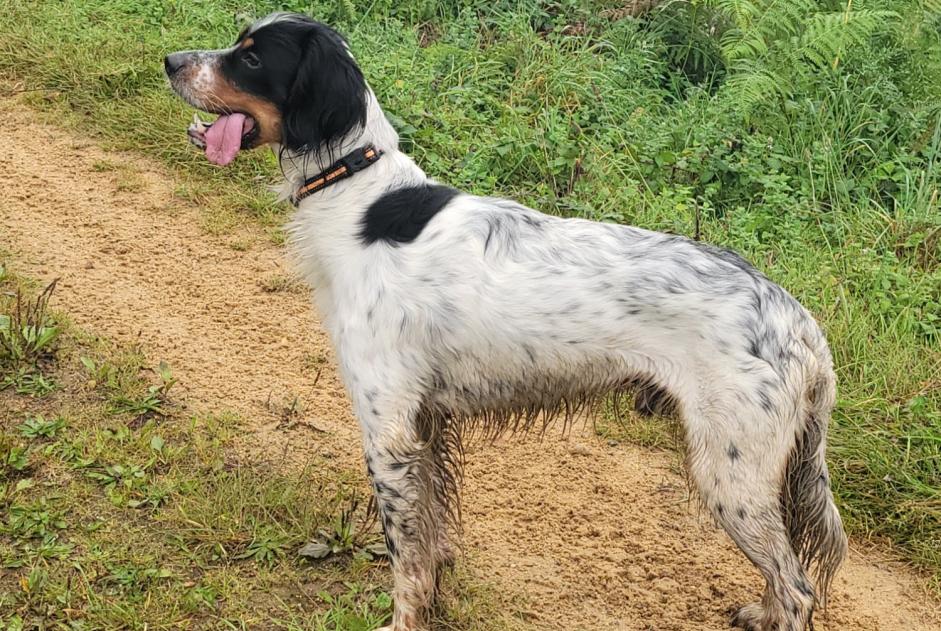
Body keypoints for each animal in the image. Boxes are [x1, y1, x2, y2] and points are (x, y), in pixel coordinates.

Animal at [165, 13, 848, 631]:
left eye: (251, 57)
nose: (171, 61)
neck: (356, 193)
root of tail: (799, 321)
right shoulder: (426, 424)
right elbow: (431, 536)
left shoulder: (387, 434)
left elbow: (404, 558)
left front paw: (405, 620)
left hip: (730, 473)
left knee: (798, 588)